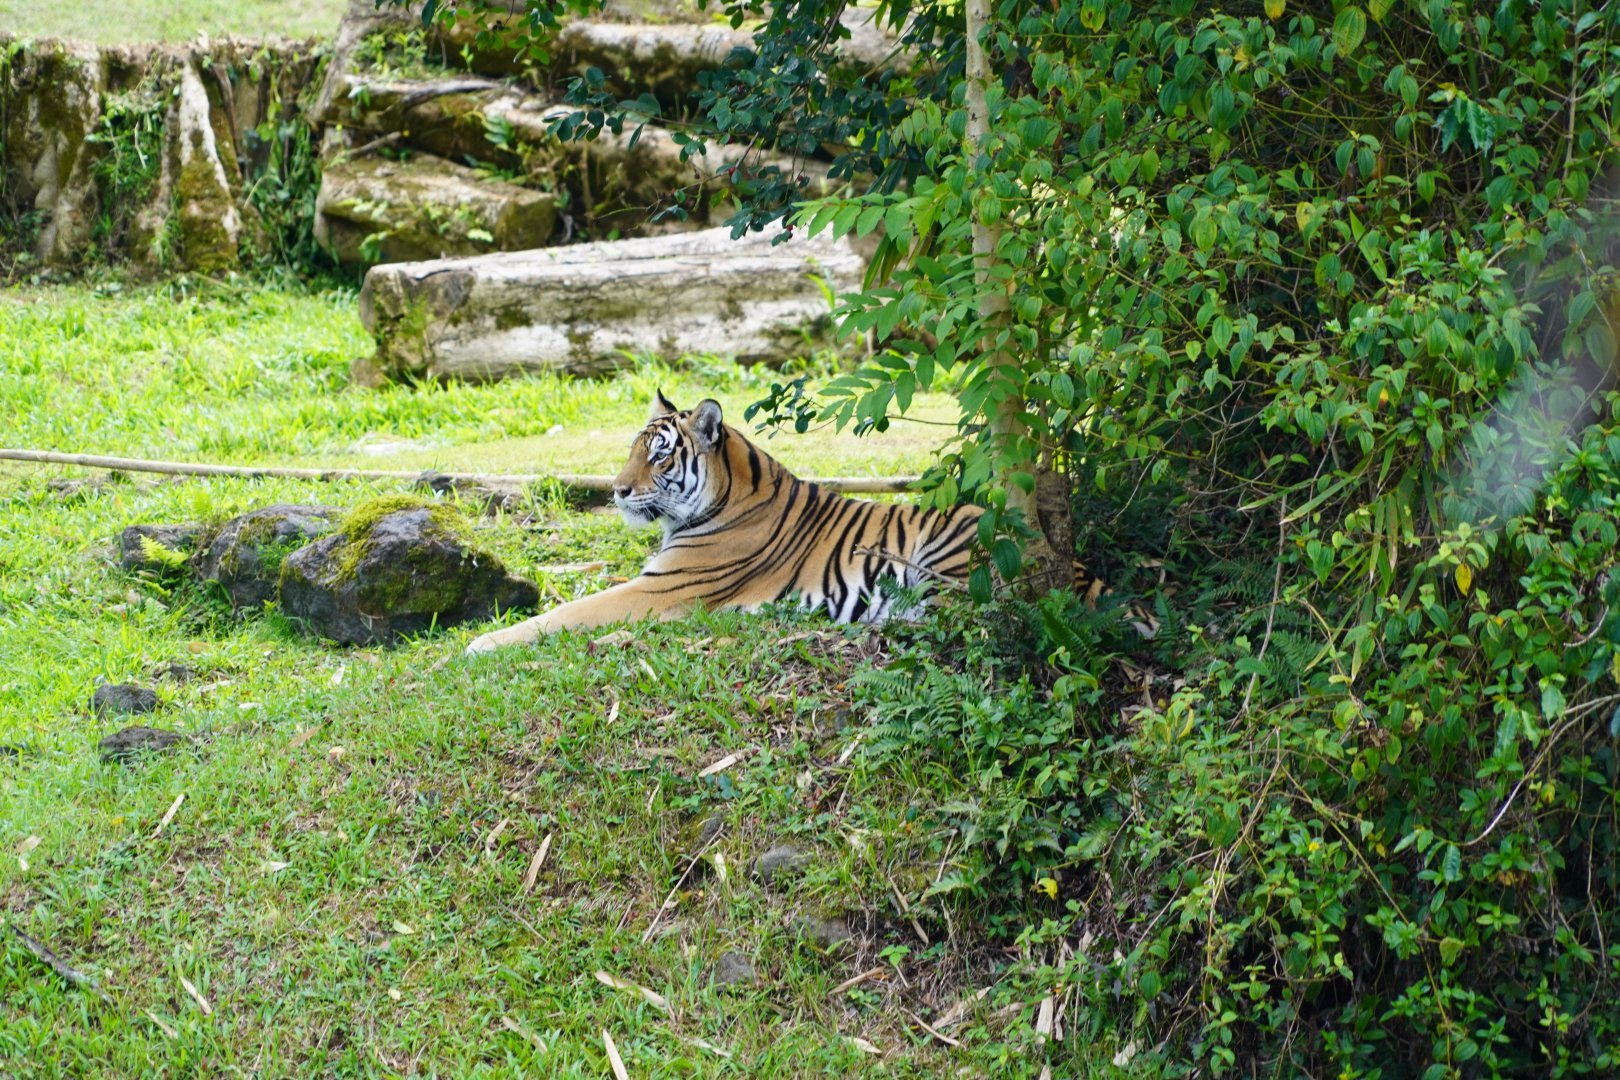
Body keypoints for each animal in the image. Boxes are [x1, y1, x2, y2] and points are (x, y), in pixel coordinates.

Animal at [464, 390, 983, 652]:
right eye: (633, 449)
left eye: (659, 455)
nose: (617, 489)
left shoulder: (659, 588)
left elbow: (568, 613)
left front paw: (480, 643)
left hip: (944, 553)